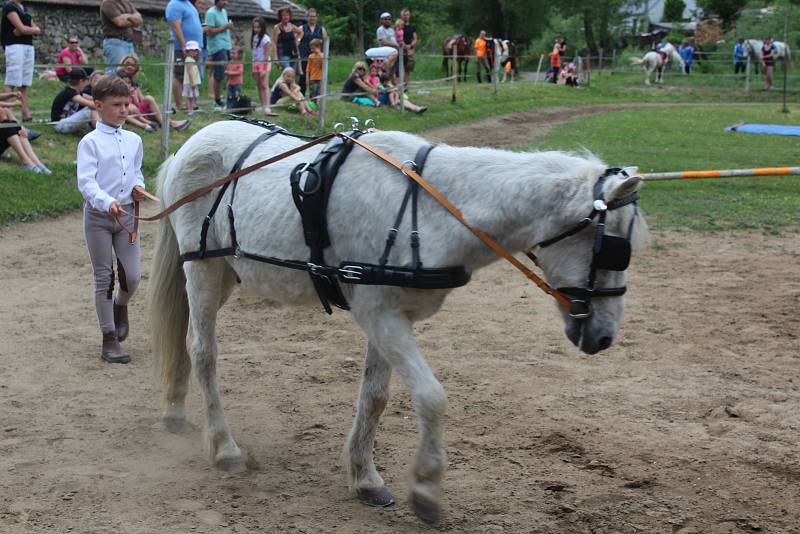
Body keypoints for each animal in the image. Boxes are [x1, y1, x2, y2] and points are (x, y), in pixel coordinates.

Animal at [148, 120, 648, 524]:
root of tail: (195, 140)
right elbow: (431, 398)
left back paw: (173, 409)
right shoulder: (380, 316)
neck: (426, 210)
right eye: (612, 251)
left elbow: (375, 397)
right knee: (202, 352)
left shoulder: (388, 315)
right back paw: (224, 448)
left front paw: (365, 478)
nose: (605, 337)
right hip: (202, 270)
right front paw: (425, 489)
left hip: (226, 273)